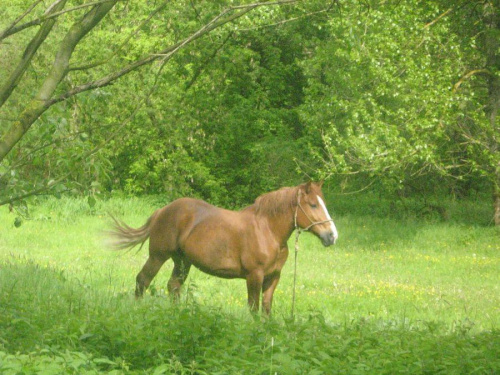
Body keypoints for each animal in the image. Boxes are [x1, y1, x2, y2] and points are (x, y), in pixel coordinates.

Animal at [108, 182, 336, 314]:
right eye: (313, 205)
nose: (332, 235)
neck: (268, 230)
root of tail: (162, 211)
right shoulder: (255, 276)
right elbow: (253, 308)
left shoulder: (273, 277)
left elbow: (266, 308)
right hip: (158, 256)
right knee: (143, 280)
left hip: (182, 261)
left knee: (173, 286)